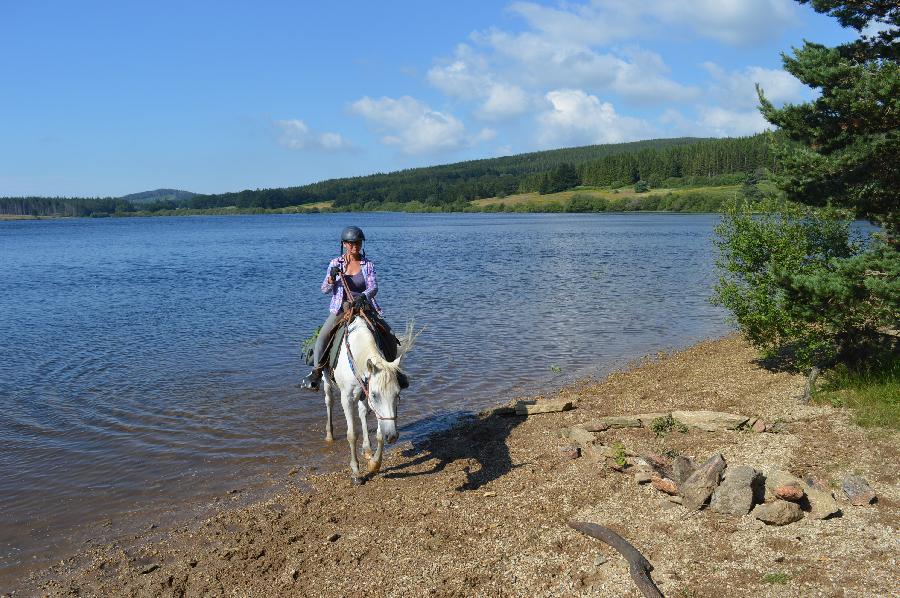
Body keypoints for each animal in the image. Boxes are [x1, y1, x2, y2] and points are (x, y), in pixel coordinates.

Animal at [324, 318, 414, 488]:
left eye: (397, 394)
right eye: (374, 395)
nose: (392, 436)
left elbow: (379, 434)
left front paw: (374, 464)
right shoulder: (347, 398)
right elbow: (352, 435)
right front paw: (356, 473)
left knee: (362, 412)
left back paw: (367, 448)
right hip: (326, 379)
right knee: (329, 400)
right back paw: (329, 434)